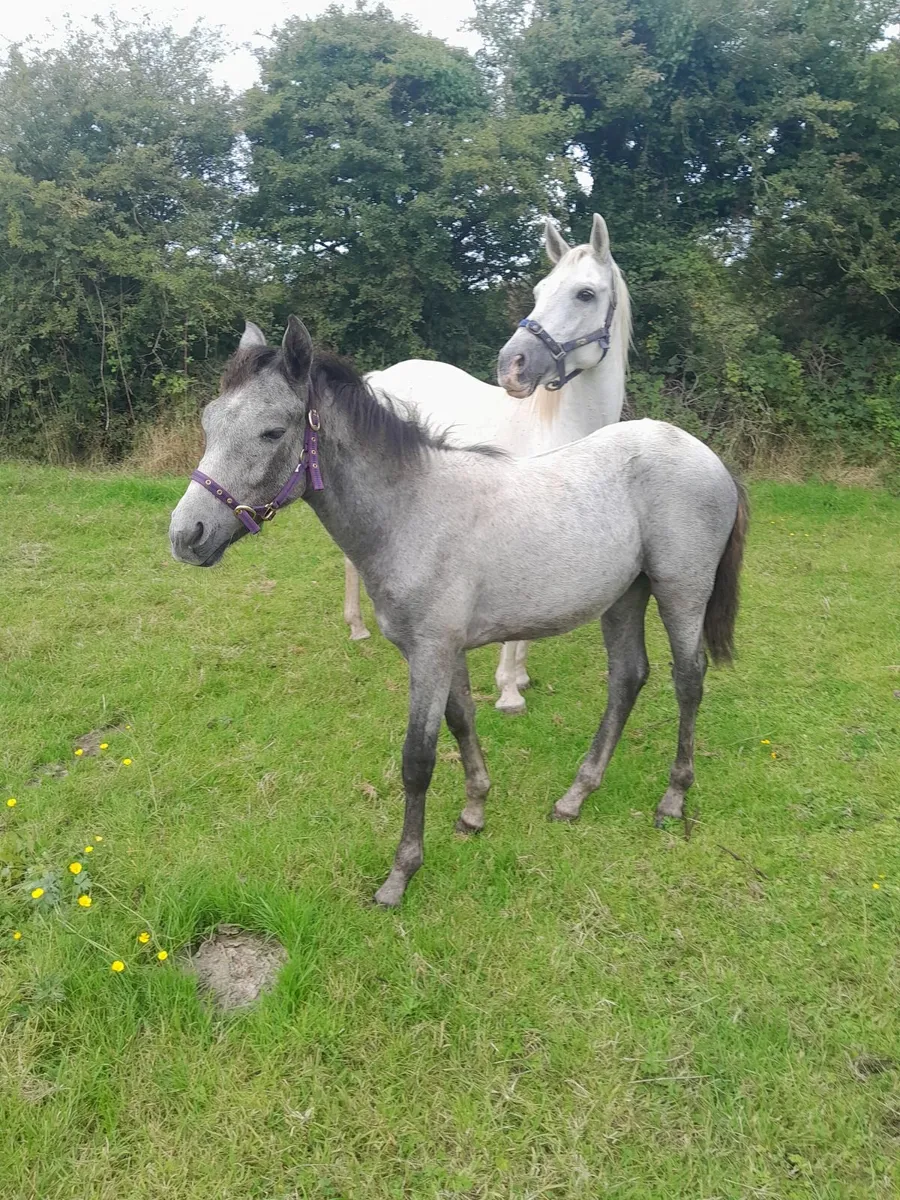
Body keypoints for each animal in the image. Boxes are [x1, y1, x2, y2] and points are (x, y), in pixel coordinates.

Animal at [169, 317, 748, 908]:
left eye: (271, 431)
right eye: (210, 423)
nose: (186, 535)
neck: (411, 510)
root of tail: (707, 457)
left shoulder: (429, 653)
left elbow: (417, 759)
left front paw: (400, 875)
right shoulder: (448, 651)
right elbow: (462, 721)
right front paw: (474, 812)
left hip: (681, 591)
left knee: (688, 680)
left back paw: (672, 800)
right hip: (625, 596)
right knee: (628, 677)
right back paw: (574, 797)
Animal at [346, 212, 632, 716]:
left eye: (585, 293)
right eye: (539, 290)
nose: (511, 366)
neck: (561, 427)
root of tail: (380, 377)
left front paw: (519, 676)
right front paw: (507, 689)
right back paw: (357, 626)